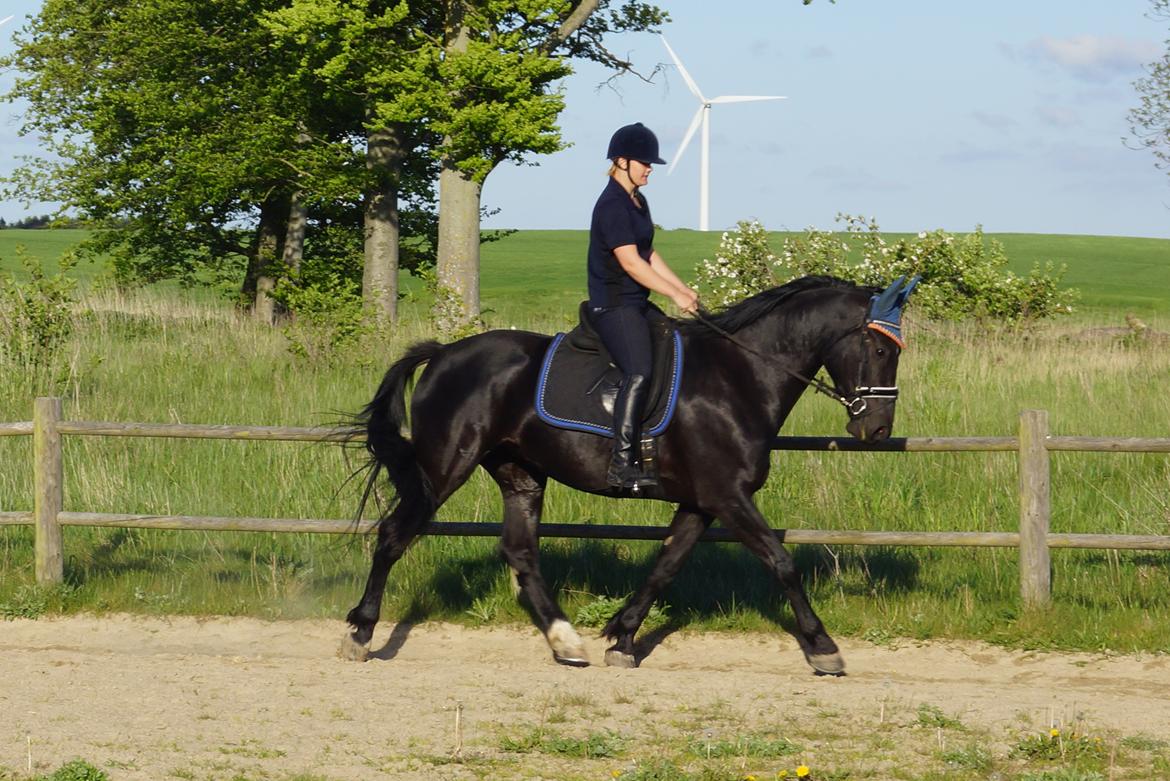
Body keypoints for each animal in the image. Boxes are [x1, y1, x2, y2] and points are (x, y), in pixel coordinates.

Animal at [341, 273, 917, 673]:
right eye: (879, 348)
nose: (878, 429)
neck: (740, 377)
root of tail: (442, 354)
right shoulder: (728, 496)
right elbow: (781, 562)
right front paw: (822, 647)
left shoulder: (702, 502)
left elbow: (666, 566)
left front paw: (621, 636)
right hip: (443, 467)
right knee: (393, 535)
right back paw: (361, 633)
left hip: (520, 472)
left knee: (520, 551)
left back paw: (566, 642)